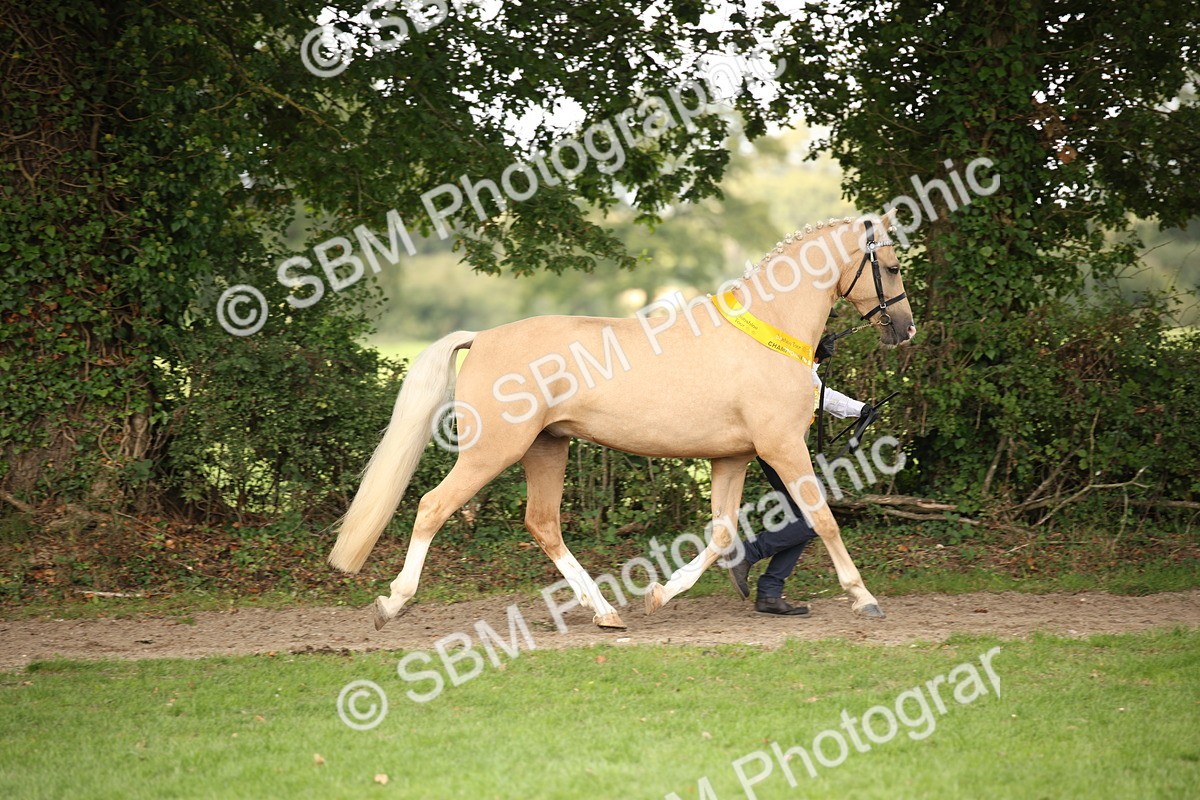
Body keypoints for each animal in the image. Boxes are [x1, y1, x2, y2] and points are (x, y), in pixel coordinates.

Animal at [328, 213, 916, 631]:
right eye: (889, 267)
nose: (905, 329)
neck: (765, 330)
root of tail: (483, 337)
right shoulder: (783, 448)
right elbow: (822, 519)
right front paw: (864, 598)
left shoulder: (732, 458)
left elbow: (724, 533)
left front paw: (661, 593)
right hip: (493, 451)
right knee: (432, 508)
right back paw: (392, 603)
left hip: (547, 448)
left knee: (543, 524)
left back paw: (605, 612)